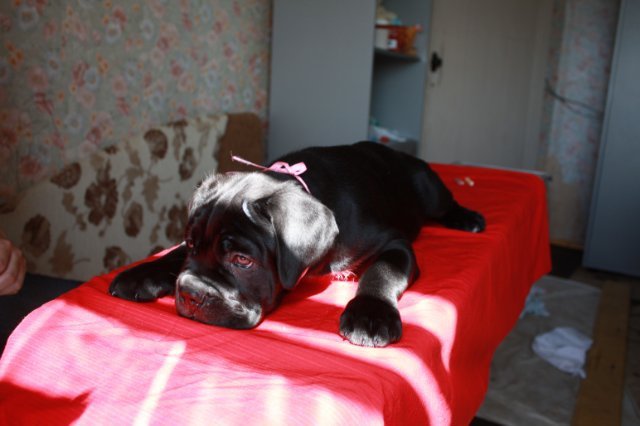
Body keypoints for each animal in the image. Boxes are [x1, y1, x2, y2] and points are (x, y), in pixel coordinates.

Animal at [109, 142, 485, 347]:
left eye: (242, 261)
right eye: (190, 243)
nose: (189, 294)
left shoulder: (395, 243)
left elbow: (382, 272)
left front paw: (370, 315)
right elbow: (172, 256)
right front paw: (140, 274)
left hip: (428, 188)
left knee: (445, 201)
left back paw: (467, 217)